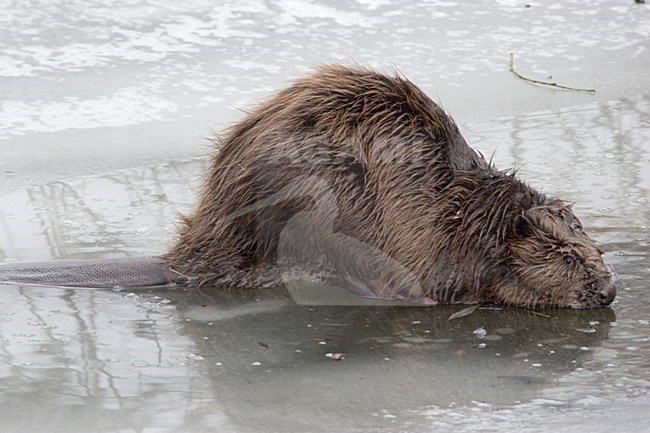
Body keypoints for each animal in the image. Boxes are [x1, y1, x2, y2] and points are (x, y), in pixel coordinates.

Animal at [0, 63, 616, 308]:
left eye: (594, 248)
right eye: (564, 257)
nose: (609, 291)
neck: (469, 211)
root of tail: (186, 258)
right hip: (317, 206)